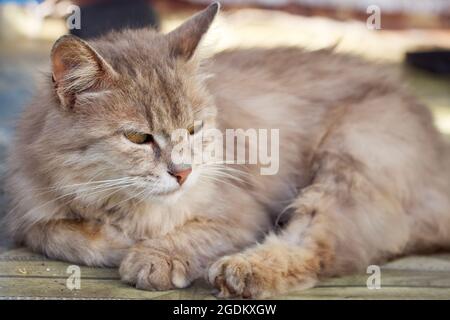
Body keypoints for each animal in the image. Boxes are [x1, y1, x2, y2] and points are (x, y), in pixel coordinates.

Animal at [3, 2, 450, 298]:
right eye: (138, 138)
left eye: (193, 128)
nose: (182, 172)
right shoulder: (28, 208)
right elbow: (58, 234)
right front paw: (121, 241)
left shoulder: (243, 210)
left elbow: (194, 233)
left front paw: (153, 255)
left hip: (352, 156)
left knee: (317, 247)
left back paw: (244, 270)